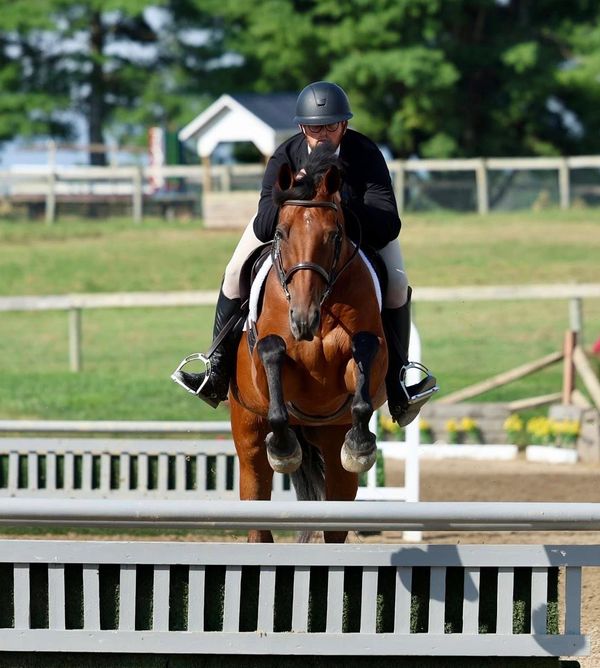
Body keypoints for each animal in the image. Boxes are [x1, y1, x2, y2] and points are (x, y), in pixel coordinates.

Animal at [229, 143, 388, 543]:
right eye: (281, 233)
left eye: (334, 236)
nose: (303, 321)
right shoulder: (265, 365)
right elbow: (271, 354)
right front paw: (284, 449)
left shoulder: (368, 361)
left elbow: (364, 353)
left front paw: (361, 447)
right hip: (248, 438)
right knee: (257, 512)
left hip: (333, 452)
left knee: (335, 521)